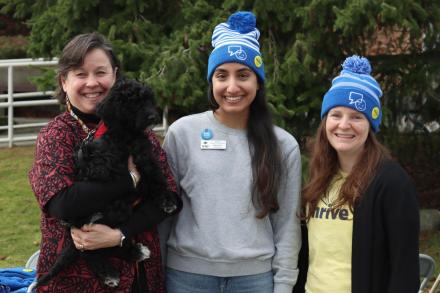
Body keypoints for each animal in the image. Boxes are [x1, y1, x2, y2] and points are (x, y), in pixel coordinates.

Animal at [36, 77, 180, 288]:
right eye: (131, 104)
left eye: (147, 100)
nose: (153, 116)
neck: (127, 134)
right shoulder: (115, 162)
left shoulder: (146, 155)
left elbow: (156, 176)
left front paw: (167, 199)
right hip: (105, 216)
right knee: (90, 251)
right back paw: (112, 271)